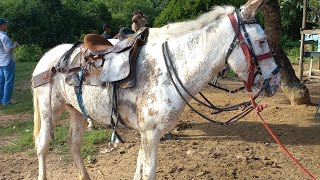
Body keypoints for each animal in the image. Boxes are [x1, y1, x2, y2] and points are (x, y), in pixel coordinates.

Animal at [33, 0, 280, 179]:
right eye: (261, 41)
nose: (276, 81)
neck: (169, 70)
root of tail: (48, 58)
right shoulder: (151, 133)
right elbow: (148, 171)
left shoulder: (146, 133)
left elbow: (140, 167)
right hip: (49, 110)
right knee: (42, 146)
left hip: (77, 111)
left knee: (74, 144)